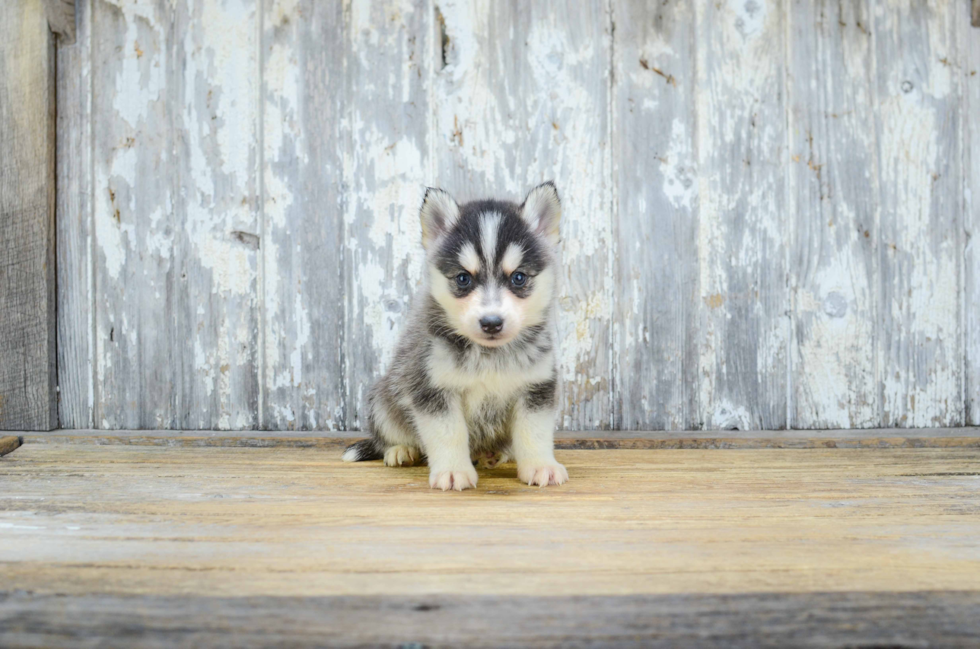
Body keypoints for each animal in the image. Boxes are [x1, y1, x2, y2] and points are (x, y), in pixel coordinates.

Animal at [342, 180, 568, 488]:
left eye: (518, 277)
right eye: (463, 278)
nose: (491, 322)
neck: (490, 355)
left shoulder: (537, 387)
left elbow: (534, 432)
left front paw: (540, 465)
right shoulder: (432, 388)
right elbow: (448, 434)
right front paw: (452, 470)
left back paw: (492, 454)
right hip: (383, 400)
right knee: (389, 436)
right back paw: (401, 450)